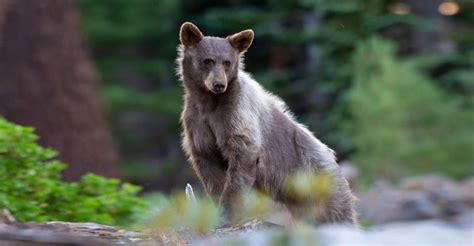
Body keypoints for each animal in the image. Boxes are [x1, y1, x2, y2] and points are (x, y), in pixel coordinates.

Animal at [177, 22, 356, 224]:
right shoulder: (197, 122)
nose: (219, 84)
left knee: (337, 214)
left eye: (227, 62)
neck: (209, 102)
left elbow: (242, 156)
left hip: (320, 181)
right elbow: (209, 166)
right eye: (207, 60)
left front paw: (227, 213)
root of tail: (335, 161)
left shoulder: (237, 114)